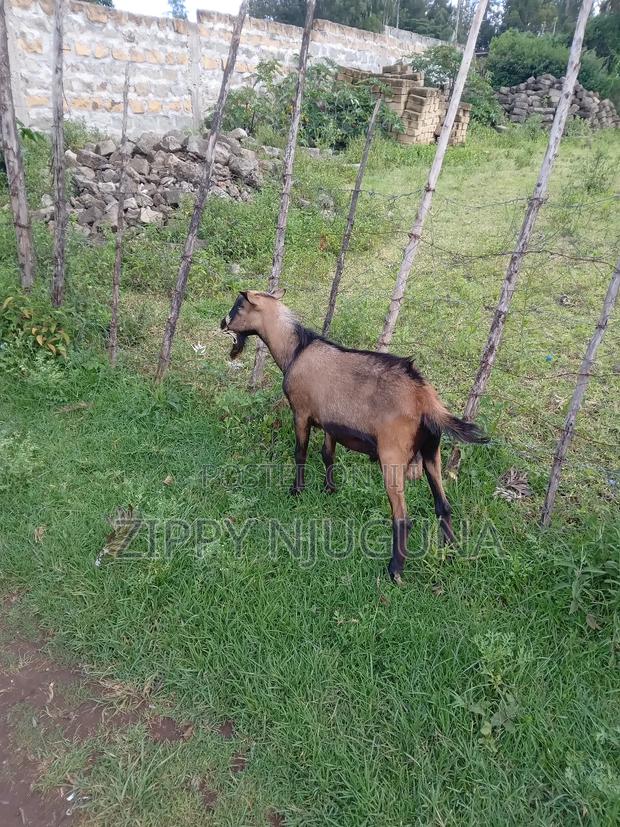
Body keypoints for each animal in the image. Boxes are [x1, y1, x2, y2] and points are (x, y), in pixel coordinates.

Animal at [221, 290, 488, 582]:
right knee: (443, 504)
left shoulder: (301, 412)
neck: (295, 350)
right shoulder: (329, 423)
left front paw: (296, 490)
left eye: (239, 306)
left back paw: (395, 571)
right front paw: (329, 489)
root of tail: (425, 398)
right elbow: (327, 455)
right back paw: (451, 551)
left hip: (392, 455)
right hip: (431, 450)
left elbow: (300, 452)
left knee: (402, 517)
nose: (222, 323)